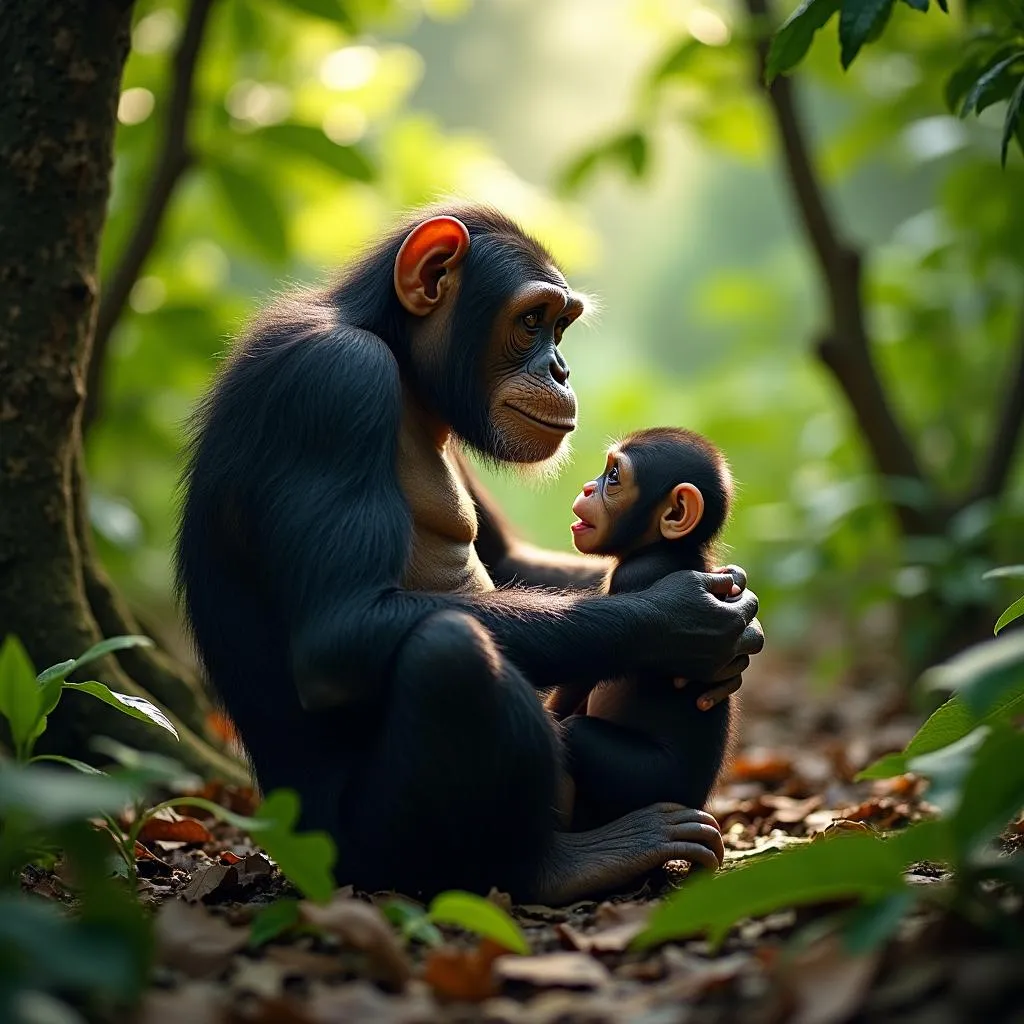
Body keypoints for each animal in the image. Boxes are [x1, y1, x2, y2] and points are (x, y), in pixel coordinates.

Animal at [557, 428, 741, 827]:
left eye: (613, 477)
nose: (588, 488)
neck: (659, 547)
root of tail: (696, 800)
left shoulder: (633, 576)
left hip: (646, 782)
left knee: (575, 735)